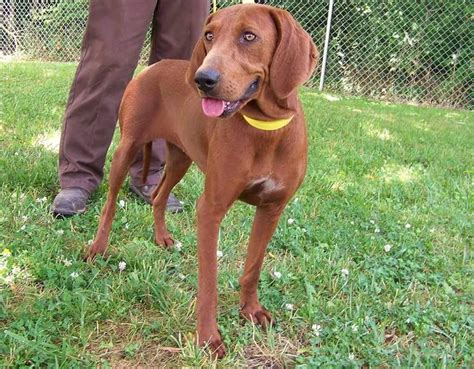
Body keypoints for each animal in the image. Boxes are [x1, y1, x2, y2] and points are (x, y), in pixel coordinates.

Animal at [86, 3, 318, 356]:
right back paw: (98, 247)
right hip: (127, 149)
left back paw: (162, 238)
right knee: (110, 204)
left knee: (158, 197)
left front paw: (250, 310)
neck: (266, 130)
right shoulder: (211, 209)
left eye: (249, 36)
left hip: (180, 159)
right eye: (209, 35)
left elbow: (253, 267)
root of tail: (153, 67)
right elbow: (208, 281)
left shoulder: (272, 209)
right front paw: (209, 337)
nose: (203, 80)